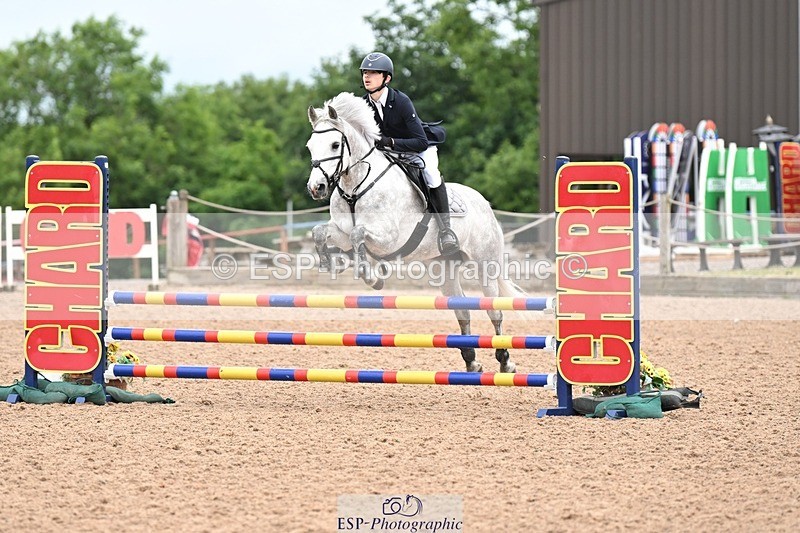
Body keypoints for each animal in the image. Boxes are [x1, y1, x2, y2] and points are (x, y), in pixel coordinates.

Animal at [305, 91, 525, 373]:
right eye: (310, 146)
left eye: (335, 145)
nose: (317, 188)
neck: (356, 185)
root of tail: (484, 203)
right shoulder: (341, 231)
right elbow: (320, 232)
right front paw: (332, 262)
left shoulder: (388, 237)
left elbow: (359, 235)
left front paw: (371, 277)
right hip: (444, 267)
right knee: (462, 311)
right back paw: (471, 362)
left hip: (486, 264)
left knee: (494, 310)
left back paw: (505, 361)